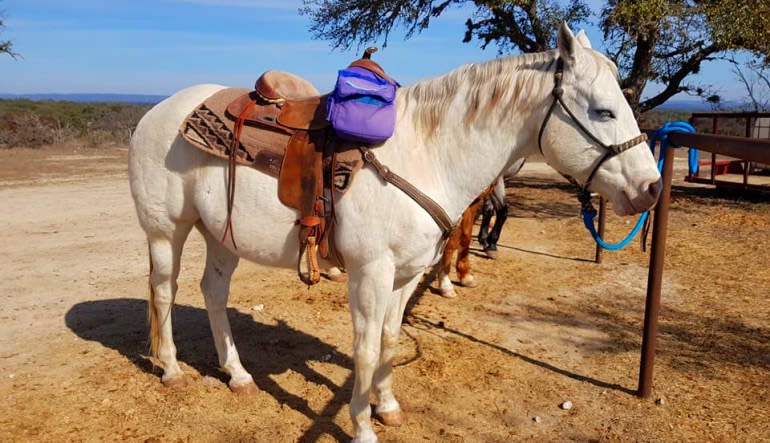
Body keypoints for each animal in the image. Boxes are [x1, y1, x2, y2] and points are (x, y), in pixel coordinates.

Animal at [129, 25, 656, 443]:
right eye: (604, 111)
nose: (650, 188)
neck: (426, 154)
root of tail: (157, 112)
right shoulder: (372, 274)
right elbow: (364, 350)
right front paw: (362, 427)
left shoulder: (405, 275)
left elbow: (389, 340)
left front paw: (387, 407)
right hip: (166, 231)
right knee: (164, 290)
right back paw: (172, 369)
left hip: (223, 236)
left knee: (213, 293)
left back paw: (237, 374)